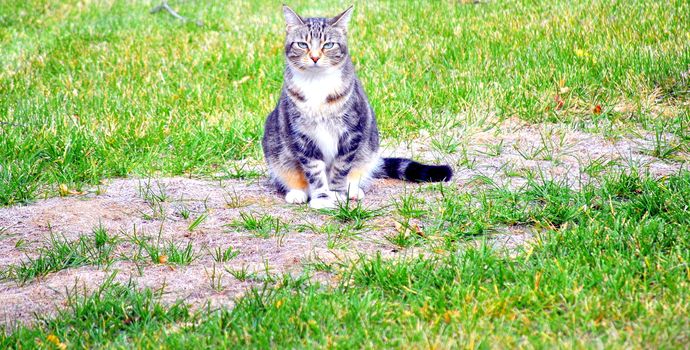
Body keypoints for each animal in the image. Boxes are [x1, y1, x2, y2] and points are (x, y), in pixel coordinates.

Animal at [260, 5, 452, 209]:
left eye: (328, 45)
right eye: (302, 44)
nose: (314, 57)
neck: (317, 84)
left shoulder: (351, 131)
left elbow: (340, 168)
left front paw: (336, 194)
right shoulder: (303, 135)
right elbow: (315, 170)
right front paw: (322, 197)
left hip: (368, 151)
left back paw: (352, 191)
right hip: (277, 151)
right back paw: (297, 192)